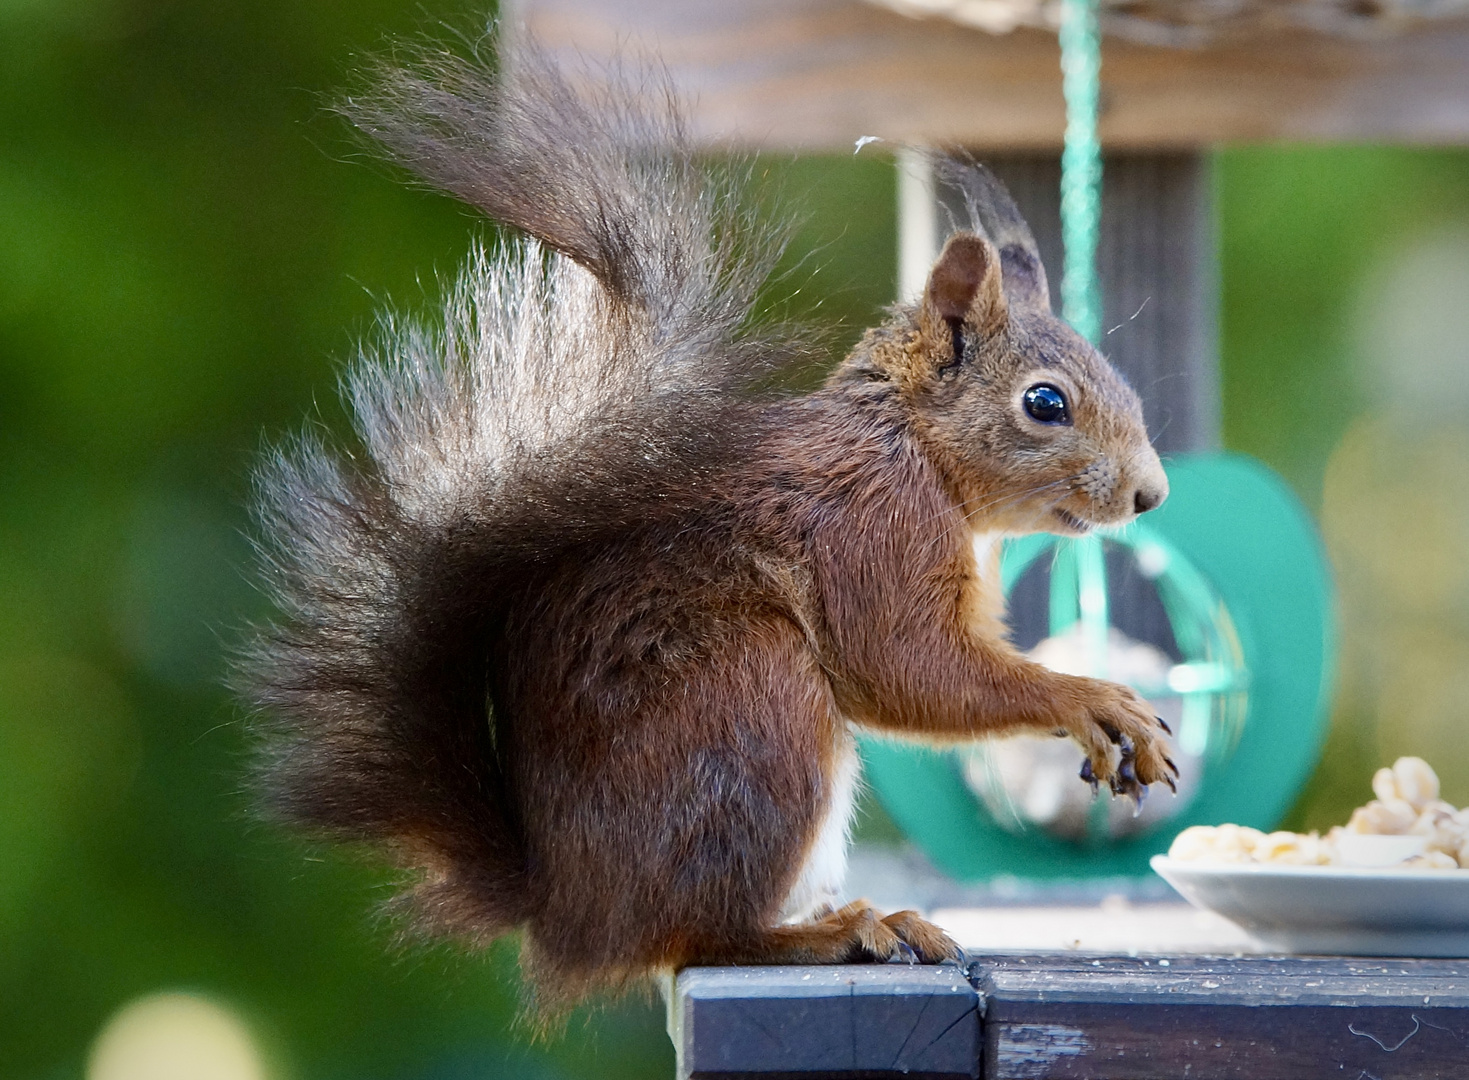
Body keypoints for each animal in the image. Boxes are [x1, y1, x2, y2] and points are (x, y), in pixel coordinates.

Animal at [246, 38, 1175, 1010]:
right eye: (1045, 403)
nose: (1149, 495)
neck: (914, 446)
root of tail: (569, 913)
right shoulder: (871, 530)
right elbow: (902, 668)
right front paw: (1090, 700)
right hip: (751, 709)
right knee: (701, 934)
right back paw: (836, 933)